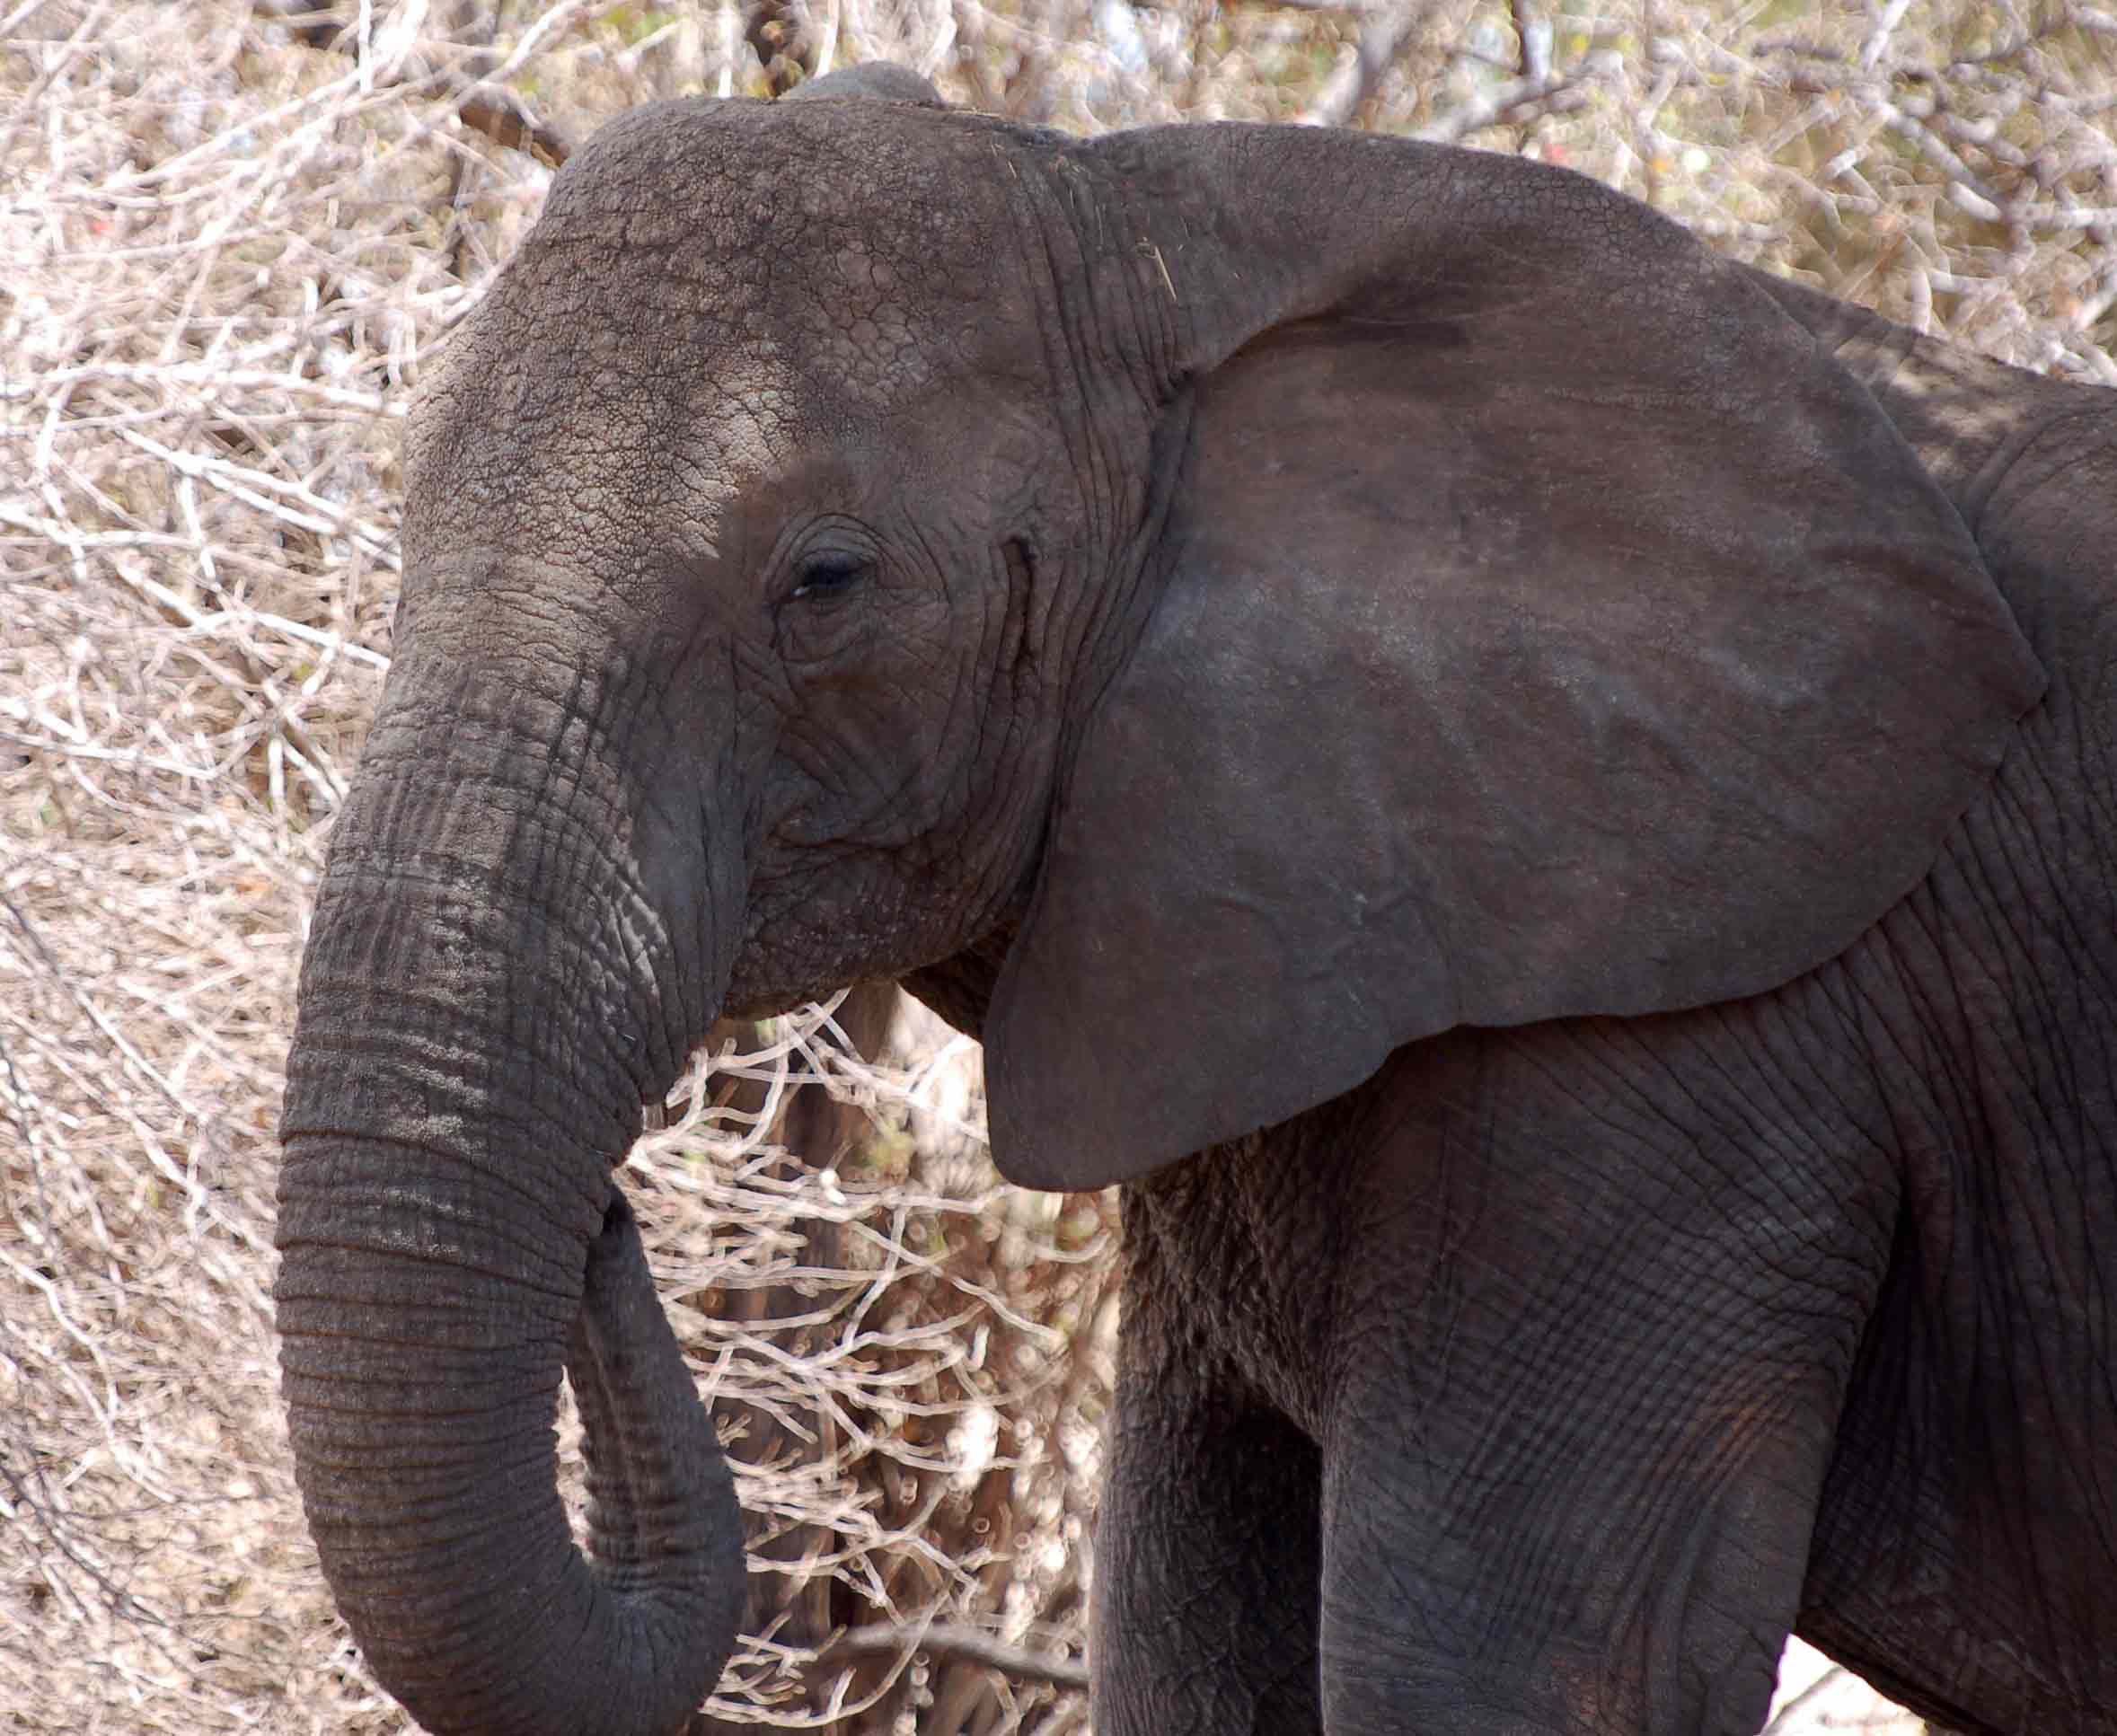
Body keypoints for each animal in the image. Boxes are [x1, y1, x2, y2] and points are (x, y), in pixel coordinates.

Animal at [272, 63, 2117, 1736]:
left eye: (826, 583)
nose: (614, 1213)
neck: (1155, 231)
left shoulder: (1679, 1037)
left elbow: (1502, 1679)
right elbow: (1188, 1641)